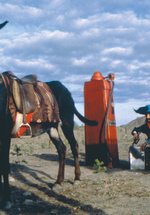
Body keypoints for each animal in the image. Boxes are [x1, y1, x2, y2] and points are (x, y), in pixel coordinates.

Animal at [0, 73, 97, 209]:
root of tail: (64, 88)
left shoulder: (5, 135)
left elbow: (4, 166)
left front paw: (6, 200)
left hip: (67, 123)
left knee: (74, 146)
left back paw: (77, 178)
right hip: (52, 128)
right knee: (62, 149)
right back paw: (58, 182)